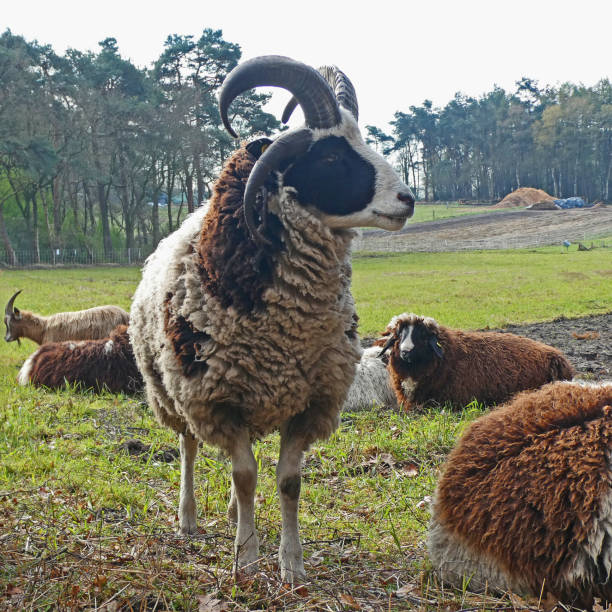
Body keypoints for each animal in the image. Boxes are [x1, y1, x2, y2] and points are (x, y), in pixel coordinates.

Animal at [129, 55, 416, 580]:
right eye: (329, 157)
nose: (408, 199)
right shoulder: (217, 399)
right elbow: (245, 476)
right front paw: (245, 558)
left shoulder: (309, 400)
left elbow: (287, 483)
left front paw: (292, 564)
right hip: (172, 394)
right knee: (189, 449)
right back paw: (189, 518)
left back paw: (227, 514)